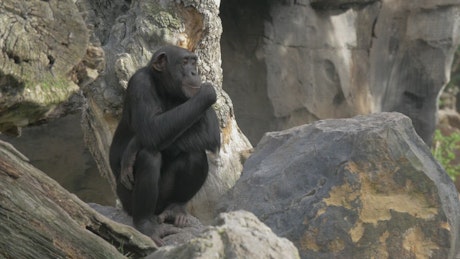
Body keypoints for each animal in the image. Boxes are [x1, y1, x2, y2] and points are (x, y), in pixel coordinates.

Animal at [109, 45, 221, 246]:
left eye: (194, 61)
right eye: (184, 62)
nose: (194, 72)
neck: (165, 90)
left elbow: (210, 131)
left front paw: (133, 146)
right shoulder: (140, 83)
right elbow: (151, 130)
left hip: (165, 202)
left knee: (194, 154)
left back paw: (176, 209)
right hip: (127, 201)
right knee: (149, 155)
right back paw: (146, 225)